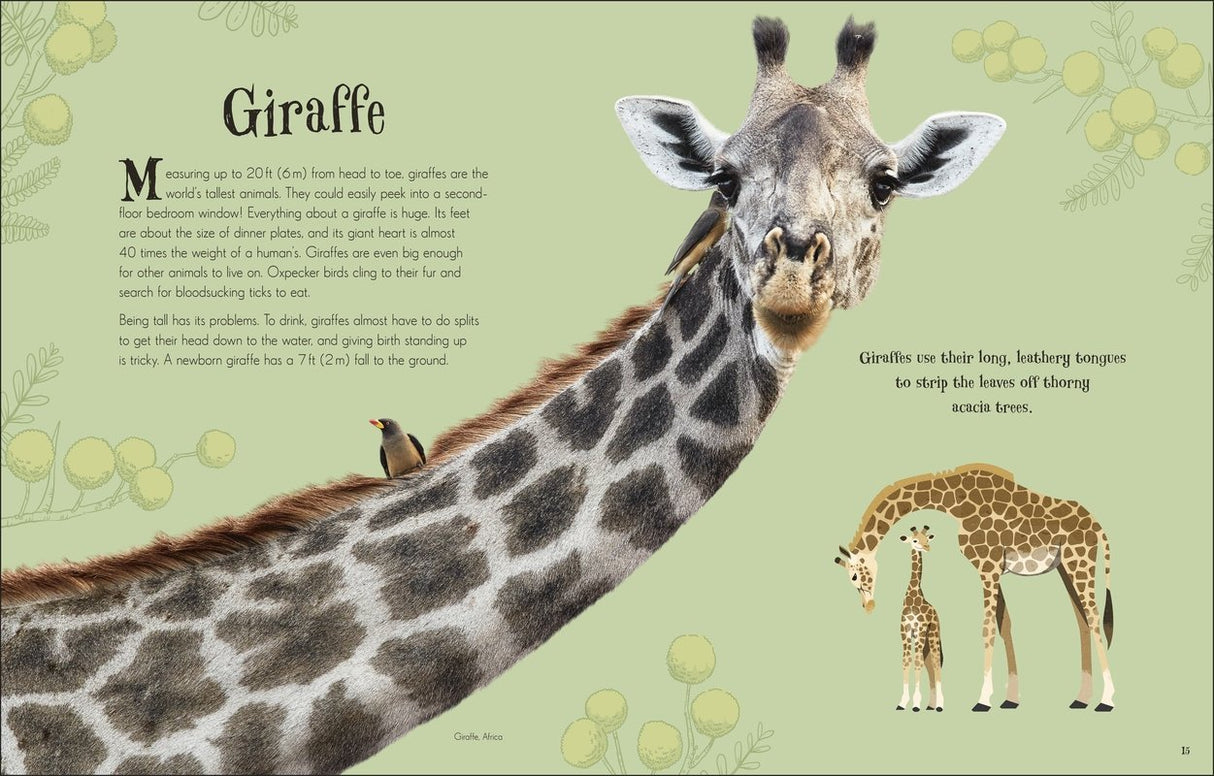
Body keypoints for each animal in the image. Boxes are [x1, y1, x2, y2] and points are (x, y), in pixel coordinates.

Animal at [895, 526, 943, 713]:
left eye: (927, 538)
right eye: (915, 540)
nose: (927, 547)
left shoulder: (920, 630)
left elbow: (916, 663)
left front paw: (915, 704)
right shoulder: (905, 632)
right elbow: (906, 661)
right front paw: (902, 703)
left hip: (933, 635)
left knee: (936, 663)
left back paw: (940, 705)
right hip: (927, 641)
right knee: (929, 664)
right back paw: (931, 706)